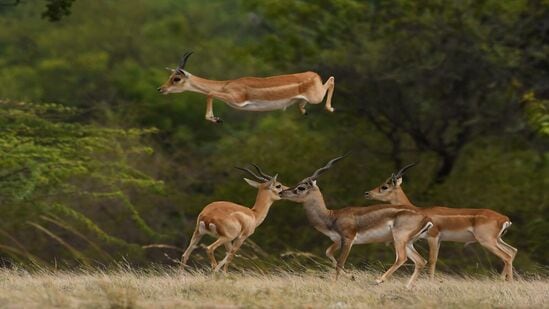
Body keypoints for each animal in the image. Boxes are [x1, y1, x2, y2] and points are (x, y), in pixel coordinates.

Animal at [156, 51, 336, 122]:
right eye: (170, 77)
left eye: (176, 78)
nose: (161, 89)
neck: (226, 85)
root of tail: (314, 75)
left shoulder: (236, 99)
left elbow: (210, 93)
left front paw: (216, 119)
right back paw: (304, 111)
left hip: (316, 96)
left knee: (332, 79)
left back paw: (331, 108)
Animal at [280, 155, 434, 288]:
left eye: (301, 187)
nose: (282, 192)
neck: (331, 216)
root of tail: (426, 218)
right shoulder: (337, 240)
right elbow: (329, 253)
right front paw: (352, 277)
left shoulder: (348, 239)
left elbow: (339, 263)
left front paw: (334, 285)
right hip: (408, 242)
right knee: (421, 261)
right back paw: (407, 287)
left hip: (399, 238)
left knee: (401, 258)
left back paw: (378, 280)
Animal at [366, 164, 516, 282]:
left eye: (384, 186)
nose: (367, 193)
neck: (419, 210)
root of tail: (504, 218)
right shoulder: (439, 240)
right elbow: (435, 259)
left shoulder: (432, 236)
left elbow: (432, 260)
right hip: (497, 240)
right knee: (512, 251)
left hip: (487, 241)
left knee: (507, 256)